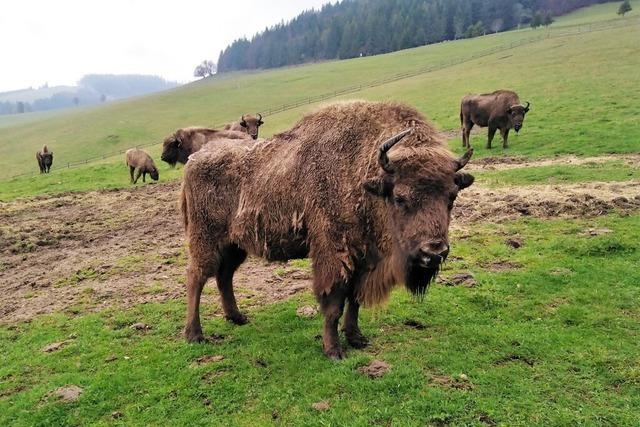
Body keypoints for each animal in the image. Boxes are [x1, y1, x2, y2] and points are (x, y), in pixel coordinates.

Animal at [180, 102, 476, 360]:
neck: (363, 175)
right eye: (400, 197)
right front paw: (334, 350)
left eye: (452, 197)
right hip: (206, 239)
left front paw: (356, 338)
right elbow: (334, 304)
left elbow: (354, 300)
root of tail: (194, 160)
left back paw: (237, 317)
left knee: (224, 276)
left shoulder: (363, 259)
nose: (433, 252)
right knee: (197, 276)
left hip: (234, 244)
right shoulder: (334, 255)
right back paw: (195, 335)